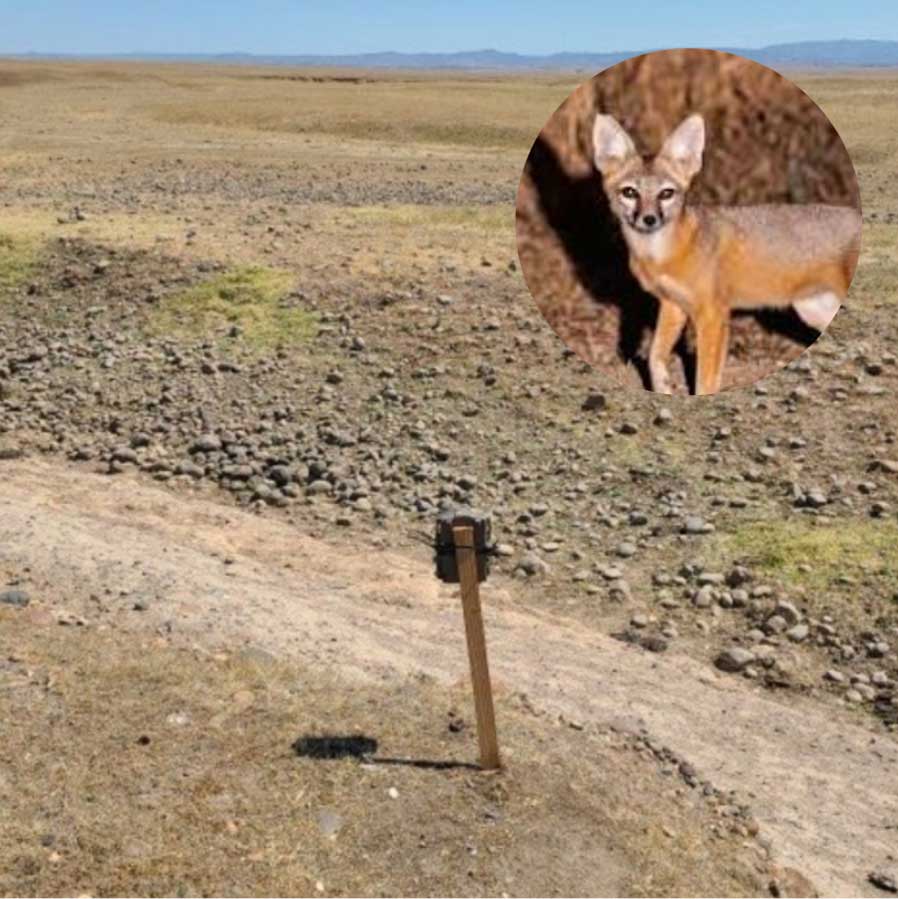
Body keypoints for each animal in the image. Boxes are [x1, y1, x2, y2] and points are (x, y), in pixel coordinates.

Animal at [591, 112, 861, 395]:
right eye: (630, 192)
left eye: (666, 193)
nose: (649, 219)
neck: (661, 256)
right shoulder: (673, 305)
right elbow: (655, 356)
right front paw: (663, 386)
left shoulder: (712, 315)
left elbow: (705, 382)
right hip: (813, 310)